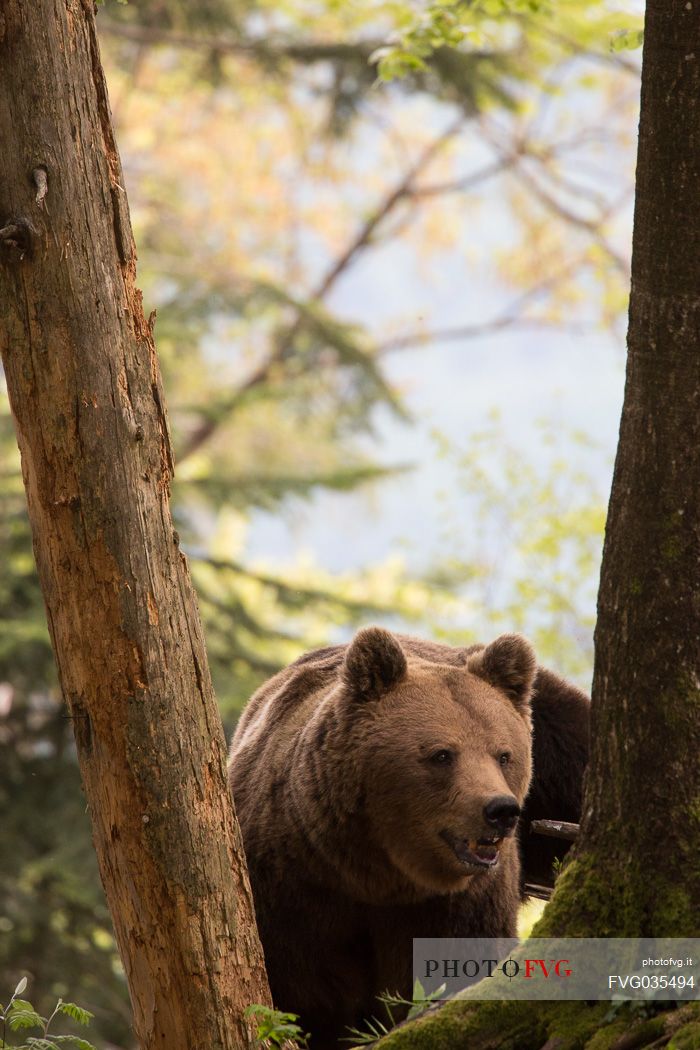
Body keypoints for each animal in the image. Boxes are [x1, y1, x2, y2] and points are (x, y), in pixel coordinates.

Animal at [229, 625, 591, 1045]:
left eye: (504, 755)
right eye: (442, 754)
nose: (500, 811)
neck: (379, 874)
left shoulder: (460, 902)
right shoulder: (291, 883)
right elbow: (305, 988)